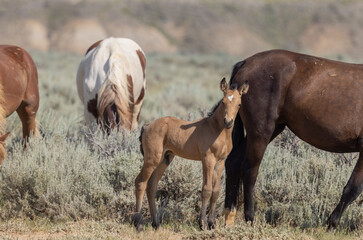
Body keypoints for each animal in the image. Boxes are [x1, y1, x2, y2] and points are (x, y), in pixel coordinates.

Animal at [223, 49, 362, 229]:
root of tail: (246, 63)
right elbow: (353, 189)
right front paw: (331, 224)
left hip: (271, 129)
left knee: (233, 163)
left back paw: (227, 217)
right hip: (261, 132)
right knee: (249, 170)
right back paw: (250, 219)